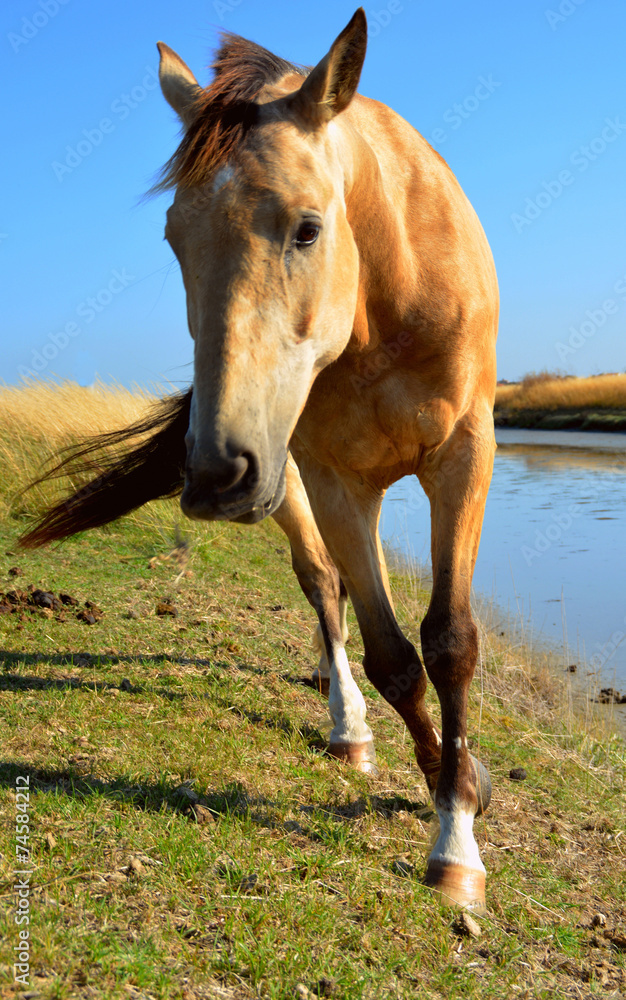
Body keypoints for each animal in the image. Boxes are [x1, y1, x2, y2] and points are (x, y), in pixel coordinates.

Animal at [20, 9, 498, 916]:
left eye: (307, 227)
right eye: (175, 239)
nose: (213, 475)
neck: (384, 301)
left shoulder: (466, 453)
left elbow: (448, 641)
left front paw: (459, 832)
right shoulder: (330, 481)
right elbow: (391, 655)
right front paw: (449, 797)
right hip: (287, 477)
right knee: (323, 582)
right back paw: (346, 720)